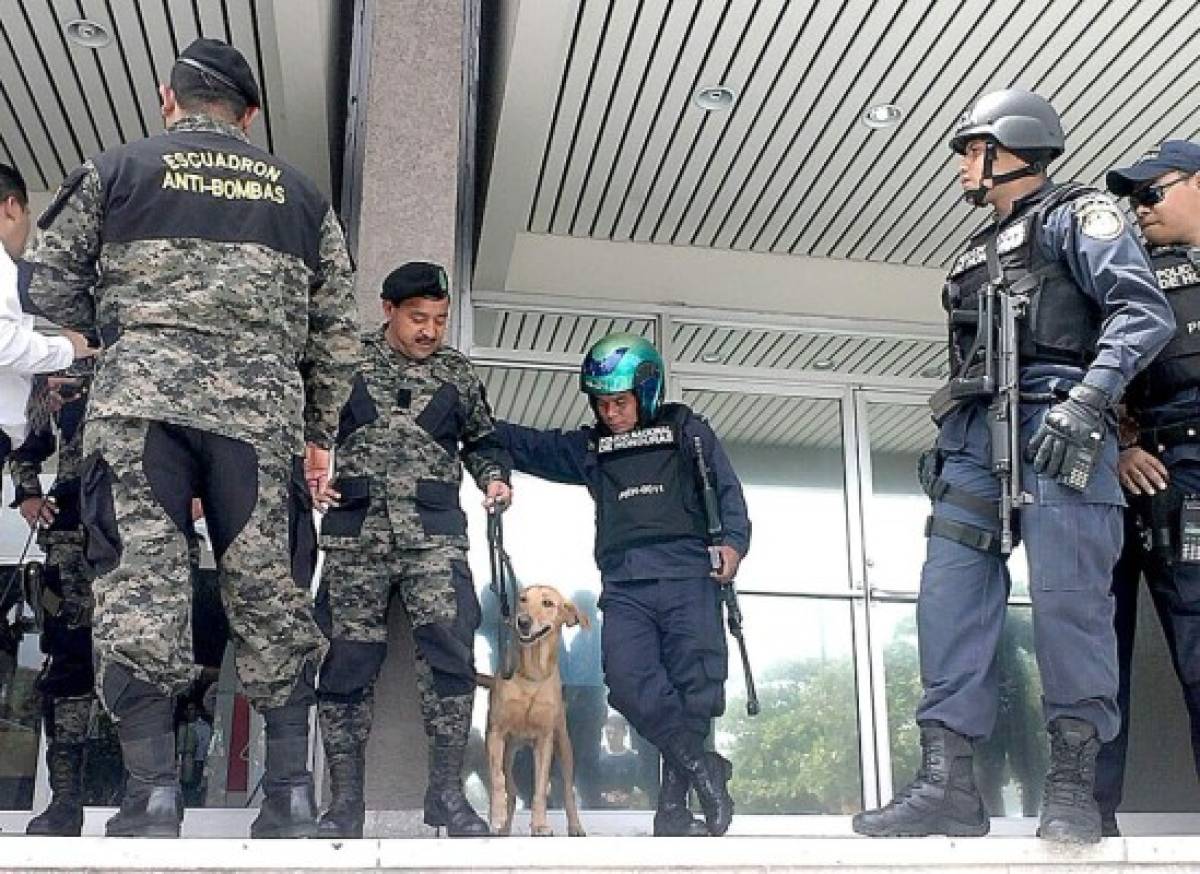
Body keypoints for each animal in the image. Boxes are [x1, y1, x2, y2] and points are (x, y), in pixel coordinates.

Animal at [480, 583, 588, 835]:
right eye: (522, 599)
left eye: (548, 603)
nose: (523, 621)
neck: (532, 674)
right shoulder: (495, 734)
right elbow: (497, 779)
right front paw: (496, 815)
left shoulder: (544, 740)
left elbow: (540, 787)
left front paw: (539, 824)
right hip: (509, 753)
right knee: (510, 788)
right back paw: (503, 826)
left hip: (564, 747)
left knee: (567, 791)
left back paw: (575, 826)